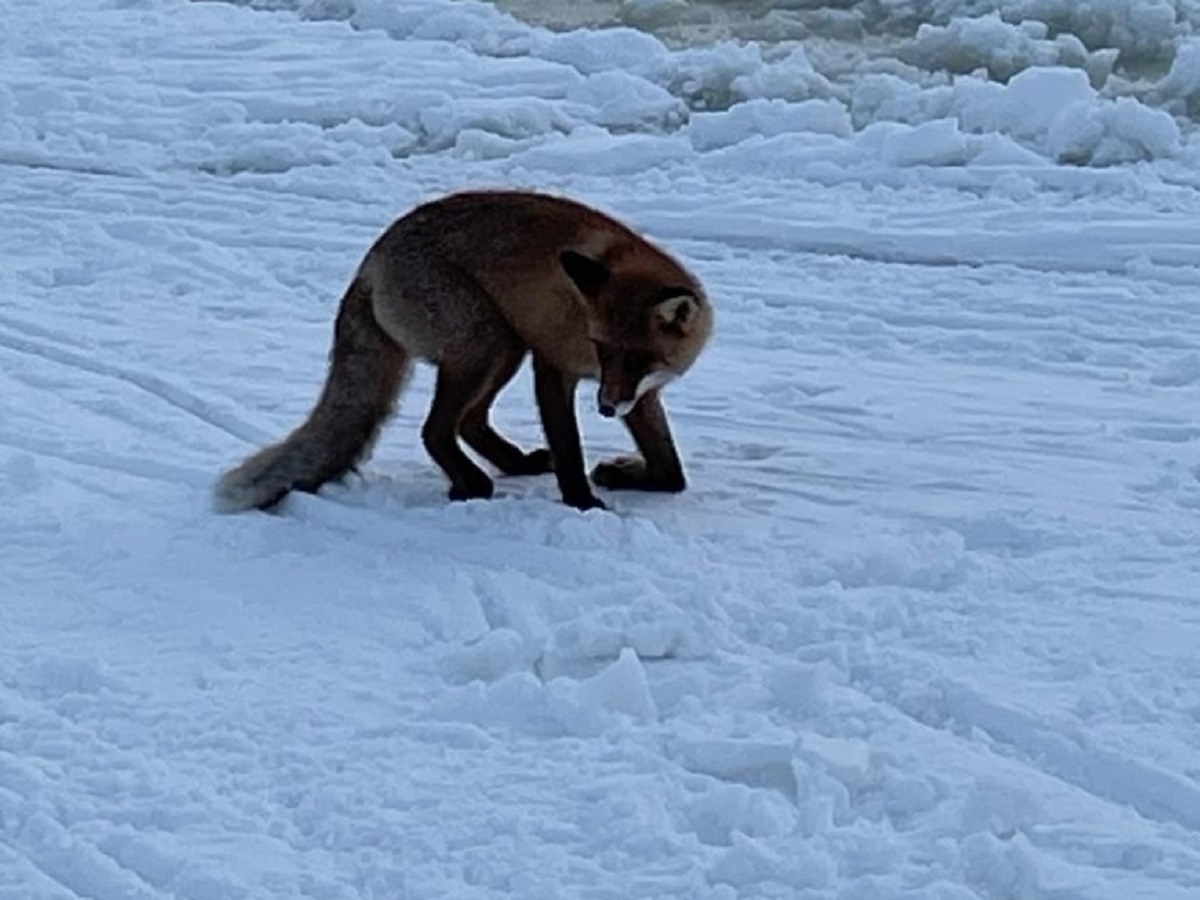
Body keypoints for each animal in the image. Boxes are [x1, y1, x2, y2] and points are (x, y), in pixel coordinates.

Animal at [213, 188, 710, 513]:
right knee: (435, 430)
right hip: (486, 343)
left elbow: (672, 472)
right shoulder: (553, 364)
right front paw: (582, 503)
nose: (605, 409)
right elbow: (569, 447)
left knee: (470, 422)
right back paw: (471, 483)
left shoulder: (640, 392)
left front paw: (629, 475)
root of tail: (368, 266)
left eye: (635, 357)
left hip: (504, 349)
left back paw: (514, 464)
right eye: (601, 347)